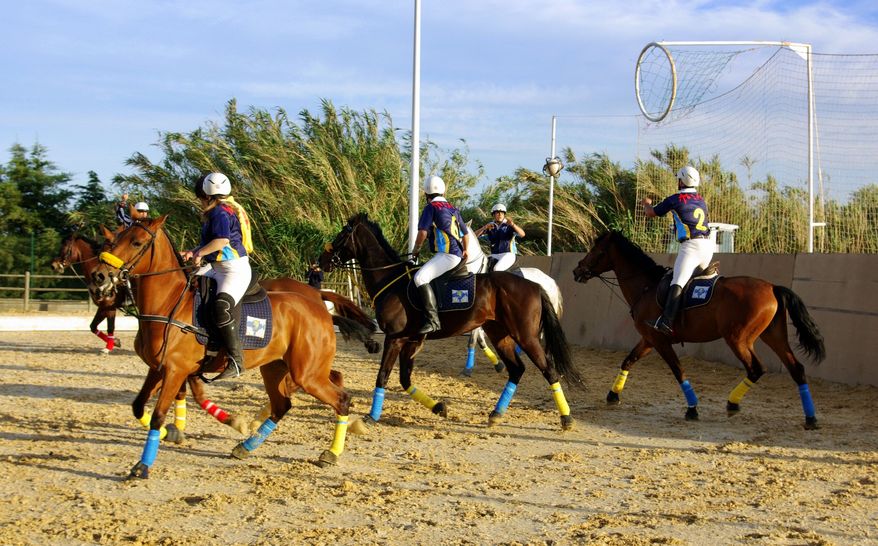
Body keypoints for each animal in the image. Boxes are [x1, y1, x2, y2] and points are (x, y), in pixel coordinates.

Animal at [92, 216, 354, 478]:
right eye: (115, 240)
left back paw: (331, 453)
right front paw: (172, 433)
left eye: (136, 242)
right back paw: (245, 447)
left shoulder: (176, 370)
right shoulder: (159, 369)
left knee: (341, 399)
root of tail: (320, 308)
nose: (99, 276)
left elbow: (158, 415)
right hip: (275, 367)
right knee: (283, 405)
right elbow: (138, 406)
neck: (169, 303)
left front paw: (143, 465)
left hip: (308, 374)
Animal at [573, 230, 826, 429]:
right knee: (796, 369)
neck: (647, 286)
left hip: (738, 339)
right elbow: (628, 360)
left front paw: (692, 408)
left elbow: (679, 371)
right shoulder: (649, 339)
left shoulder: (660, 340)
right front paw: (613, 395)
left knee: (756, 368)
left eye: (596, 250)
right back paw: (810, 418)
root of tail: (772, 287)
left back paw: (732, 403)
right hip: (773, 335)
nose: (577, 270)